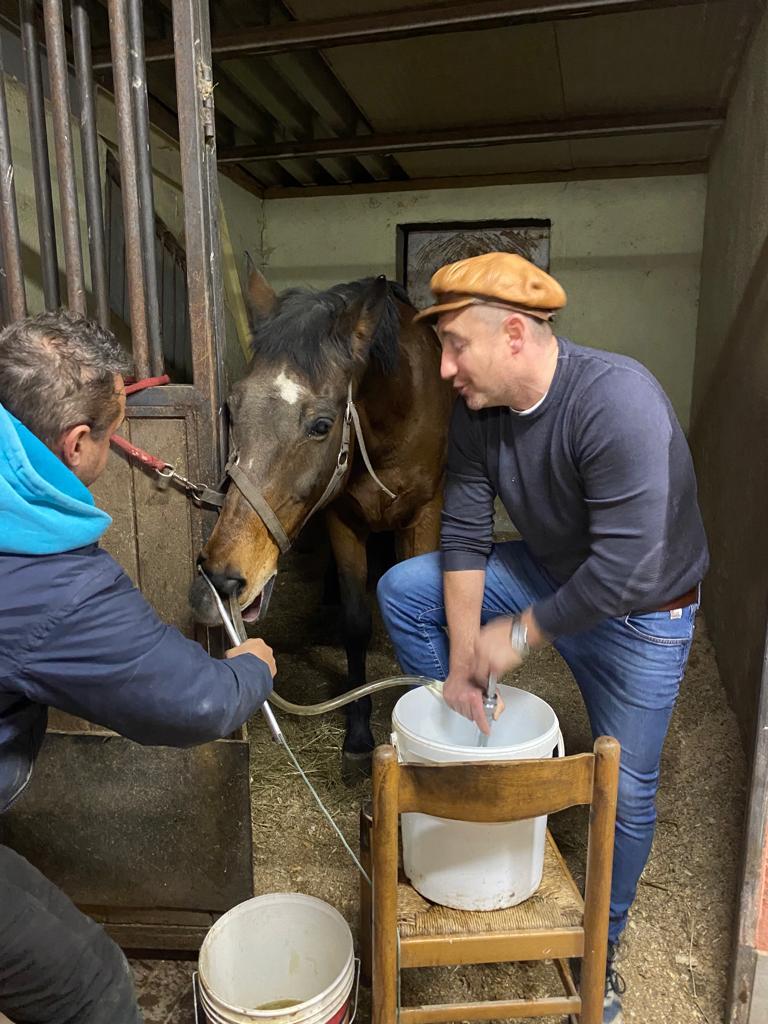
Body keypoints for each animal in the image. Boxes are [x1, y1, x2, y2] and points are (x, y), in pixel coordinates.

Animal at [191, 270, 454, 774]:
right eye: (232, 408)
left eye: (321, 425)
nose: (220, 578)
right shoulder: (342, 519)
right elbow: (355, 622)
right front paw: (358, 733)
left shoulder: (424, 517)